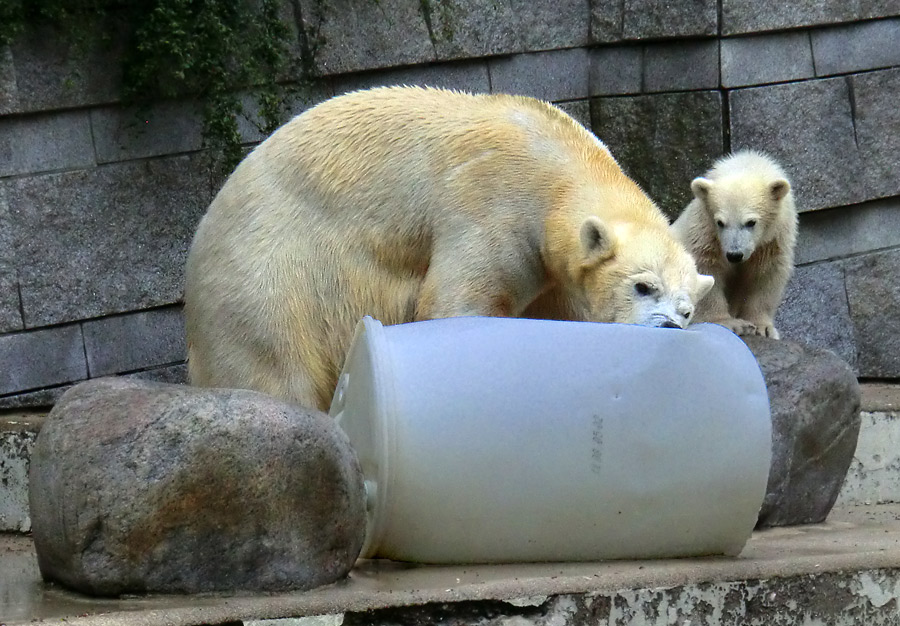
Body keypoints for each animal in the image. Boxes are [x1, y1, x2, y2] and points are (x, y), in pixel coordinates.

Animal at [186, 88, 712, 410]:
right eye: (643, 287)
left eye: (686, 310)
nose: (668, 327)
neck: (555, 162)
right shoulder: (492, 206)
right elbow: (456, 302)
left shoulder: (552, 271)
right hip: (267, 277)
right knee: (276, 370)